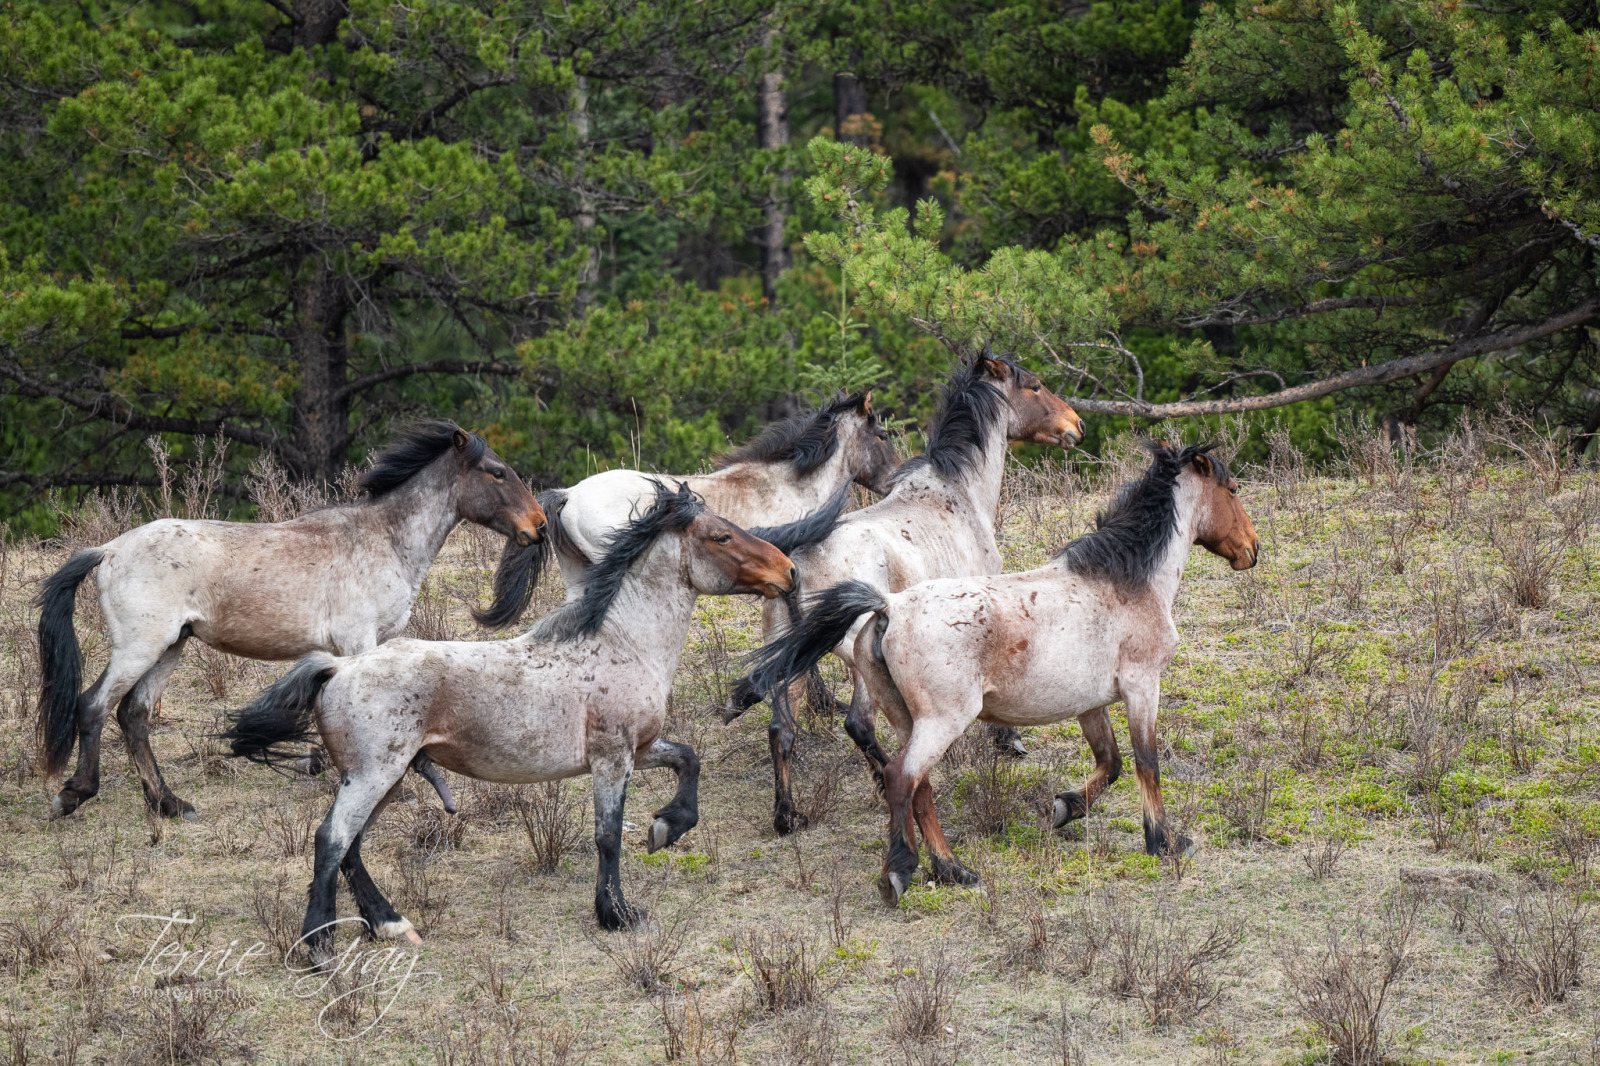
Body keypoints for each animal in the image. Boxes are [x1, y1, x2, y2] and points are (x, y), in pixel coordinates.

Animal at [36, 419, 550, 816]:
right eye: (497, 472)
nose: (539, 526)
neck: (383, 539)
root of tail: (108, 550)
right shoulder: (358, 642)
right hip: (141, 646)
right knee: (94, 706)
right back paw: (75, 795)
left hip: (171, 646)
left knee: (134, 715)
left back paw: (169, 804)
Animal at [726, 352, 1088, 832]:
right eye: (1034, 386)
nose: (1076, 425)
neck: (957, 492)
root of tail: (797, 563)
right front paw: (1008, 739)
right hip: (855, 660)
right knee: (858, 724)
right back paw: (887, 785)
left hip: (793, 661)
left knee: (781, 731)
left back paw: (788, 816)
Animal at [745, 438, 1260, 896]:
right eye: (1232, 489)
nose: (1252, 549)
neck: (1128, 583)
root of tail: (888, 606)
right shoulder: (1142, 688)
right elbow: (1146, 763)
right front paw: (1164, 842)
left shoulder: (1090, 704)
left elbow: (1110, 764)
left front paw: (1065, 808)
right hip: (942, 720)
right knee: (901, 779)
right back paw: (902, 872)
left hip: (908, 720)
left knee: (918, 786)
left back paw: (952, 870)